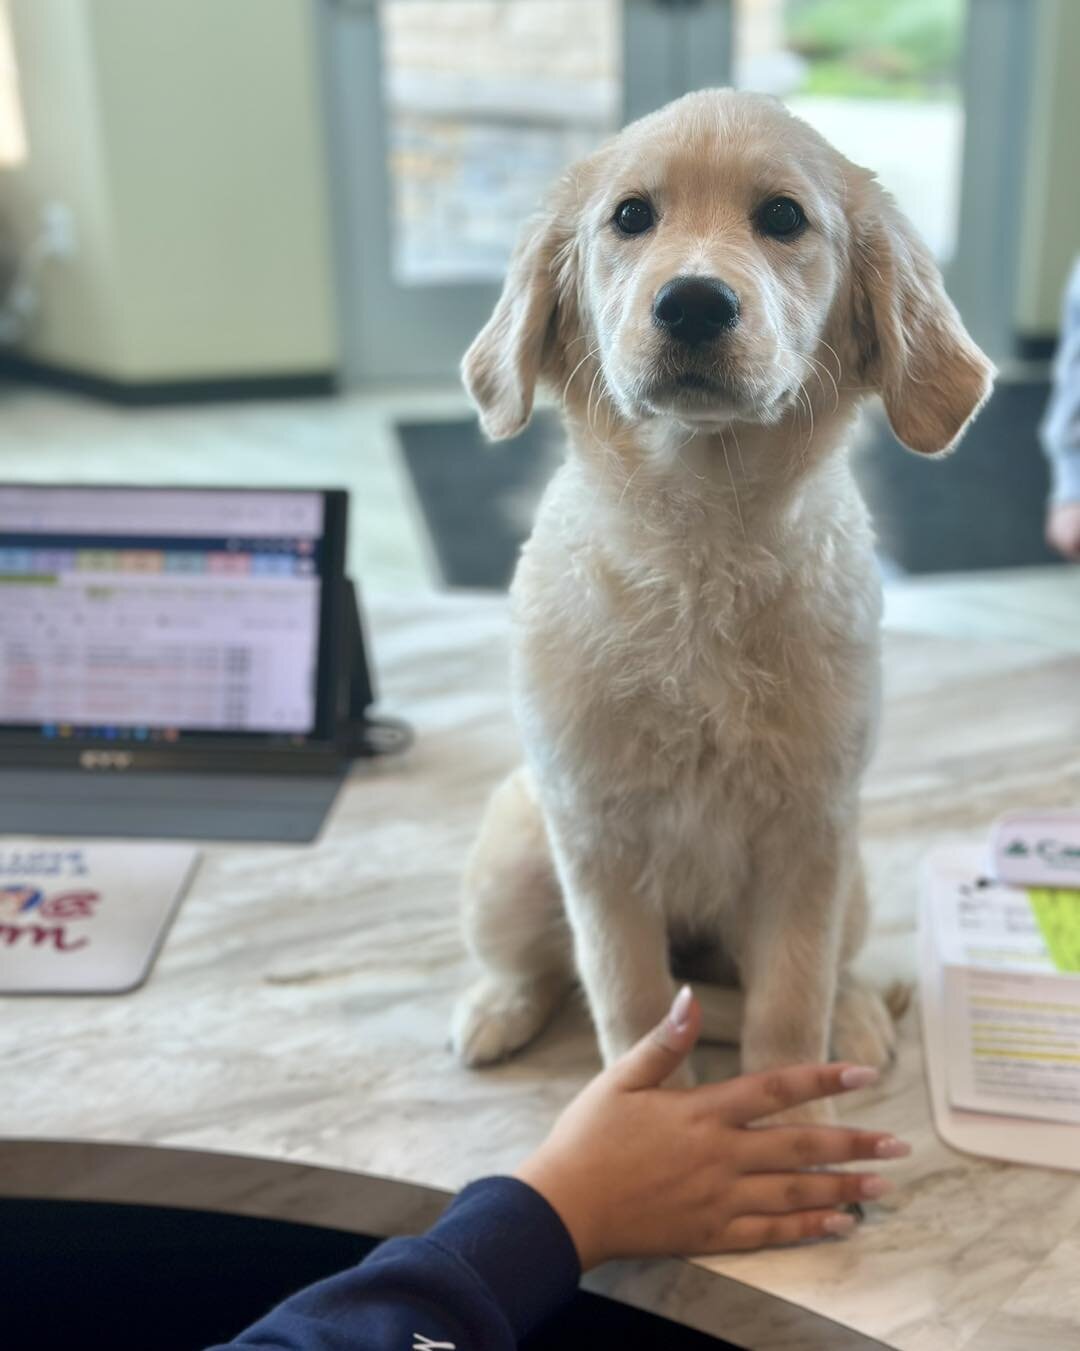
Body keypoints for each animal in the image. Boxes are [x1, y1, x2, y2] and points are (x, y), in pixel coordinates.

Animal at [448, 87, 994, 1118]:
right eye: (631, 216)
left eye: (782, 218)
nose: (694, 302)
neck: (703, 541)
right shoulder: (595, 832)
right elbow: (627, 996)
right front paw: (648, 1118)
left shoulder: (810, 836)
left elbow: (788, 1004)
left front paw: (796, 1116)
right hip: (511, 848)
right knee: (543, 966)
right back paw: (496, 1008)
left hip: (854, 873)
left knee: (825, 975)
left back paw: (859, 1018)